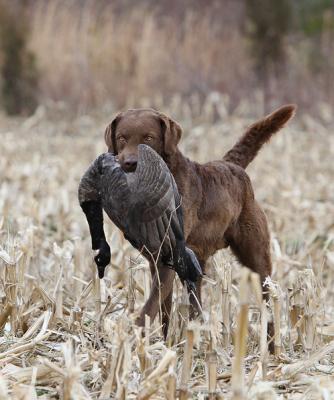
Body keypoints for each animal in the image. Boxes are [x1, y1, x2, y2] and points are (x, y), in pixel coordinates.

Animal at [103, 104, 294, 340]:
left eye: (149, 138)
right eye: (121, 138)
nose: (130, 163)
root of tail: (231, 165)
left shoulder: (169, 257)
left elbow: (150, 307)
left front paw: (133, 336)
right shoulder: (157, 261)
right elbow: (163, 309)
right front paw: (164, 342)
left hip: (256, 254)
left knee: (268, 296)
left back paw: (271, 342)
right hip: (196, 263)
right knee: (196, 301)